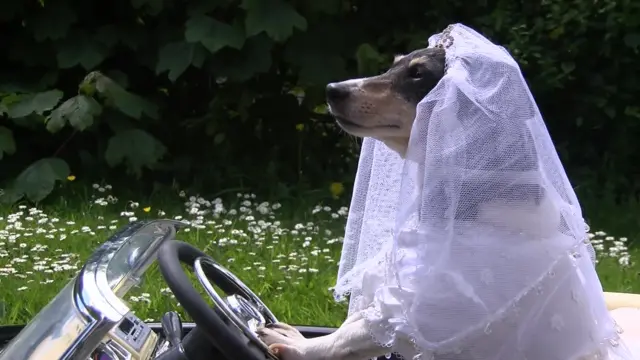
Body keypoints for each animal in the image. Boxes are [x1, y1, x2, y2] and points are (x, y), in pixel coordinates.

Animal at [256, 46, 640, 358]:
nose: (332, 90)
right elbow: (357, 322)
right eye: (394, 63)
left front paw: (302, 347)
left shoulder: (424, 312)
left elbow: (353, 336)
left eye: (418, 74)